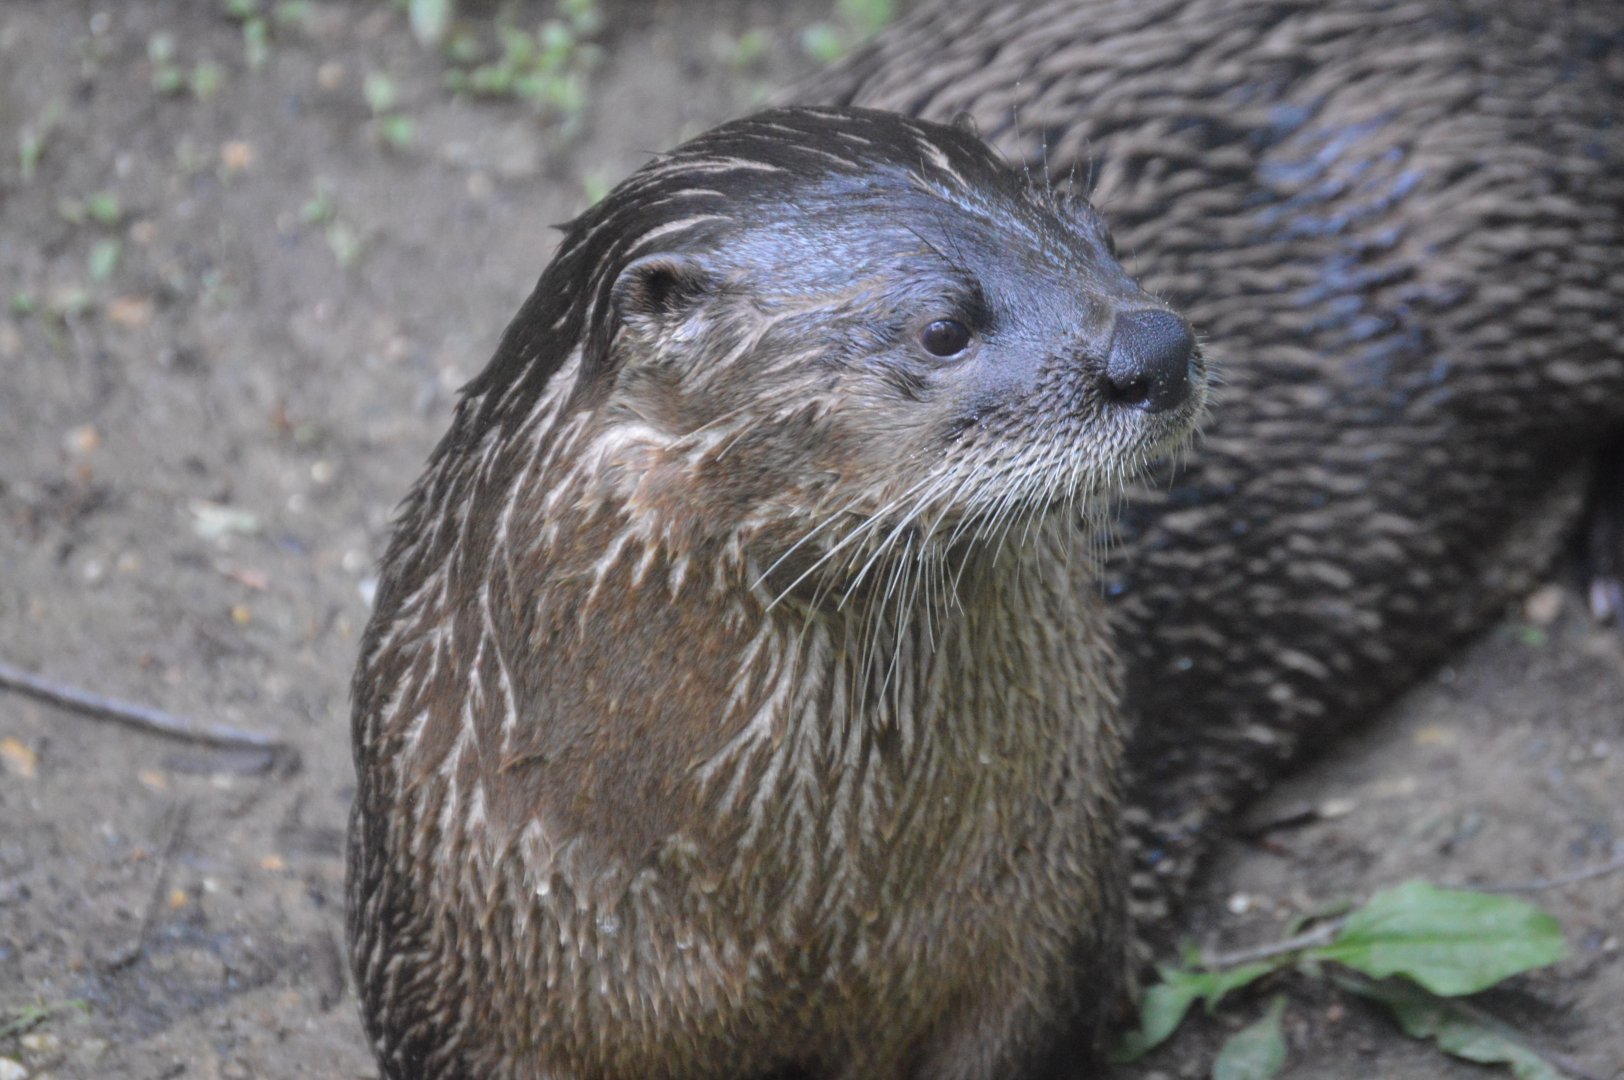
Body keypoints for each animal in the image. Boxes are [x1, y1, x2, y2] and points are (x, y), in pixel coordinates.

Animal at [347, 107, 1207, 1079]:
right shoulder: (465, 995)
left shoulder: (1045, 937)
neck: (797, 916)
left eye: (1105, 240)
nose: (1157, 348)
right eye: (943, 327)